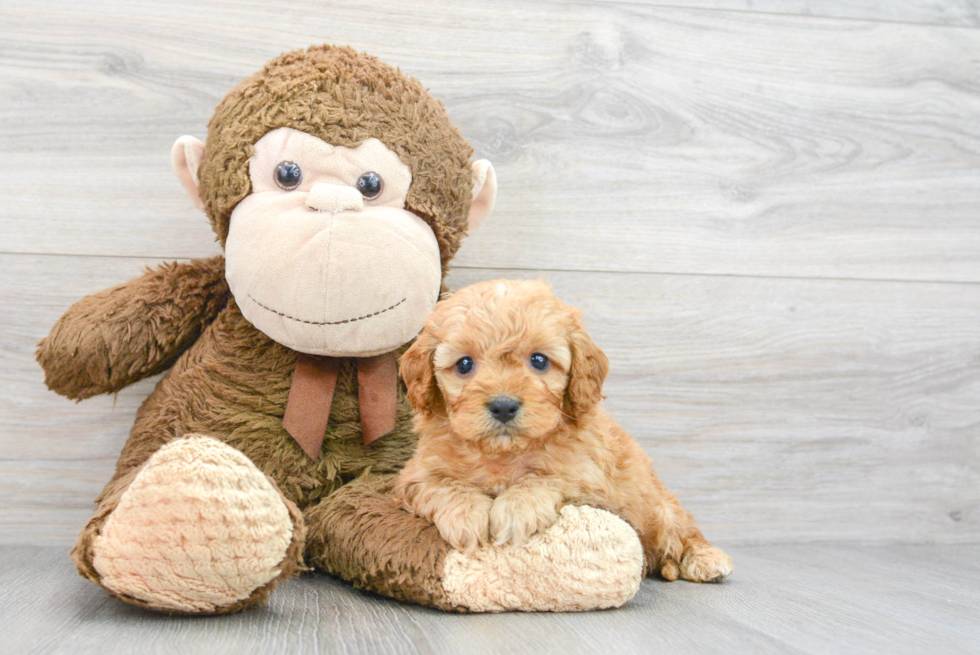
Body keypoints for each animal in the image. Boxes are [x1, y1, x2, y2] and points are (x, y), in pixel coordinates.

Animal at [394, 280, 732, 580]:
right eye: (464, 364)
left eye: (539, 360)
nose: (503, 406)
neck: (504, 453)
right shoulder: (416, 475)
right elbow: (441, 484)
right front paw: (466, 516)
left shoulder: (590, 480)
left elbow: (547, 477)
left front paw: (515, 510)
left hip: (660, 509)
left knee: (684, 530)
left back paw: (705, 559)